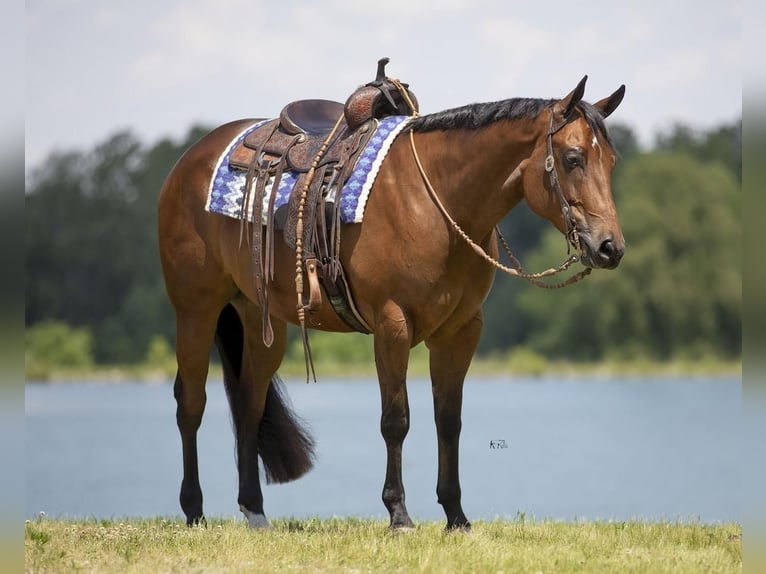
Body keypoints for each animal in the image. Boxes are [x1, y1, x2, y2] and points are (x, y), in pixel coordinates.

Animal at [159, 74, 628, 532]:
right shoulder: (392, 324)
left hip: (259, 320)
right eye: (573, 158)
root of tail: (189, 160)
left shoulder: (461, 331)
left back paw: (255, 511)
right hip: (196, 310)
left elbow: (449, 420)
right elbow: (395, 420)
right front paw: (399, 514)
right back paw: (194, 510)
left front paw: (456, 515)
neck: (437, 202)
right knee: (191, 403)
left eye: (611, 161)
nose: (610, 248)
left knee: (249, 404)